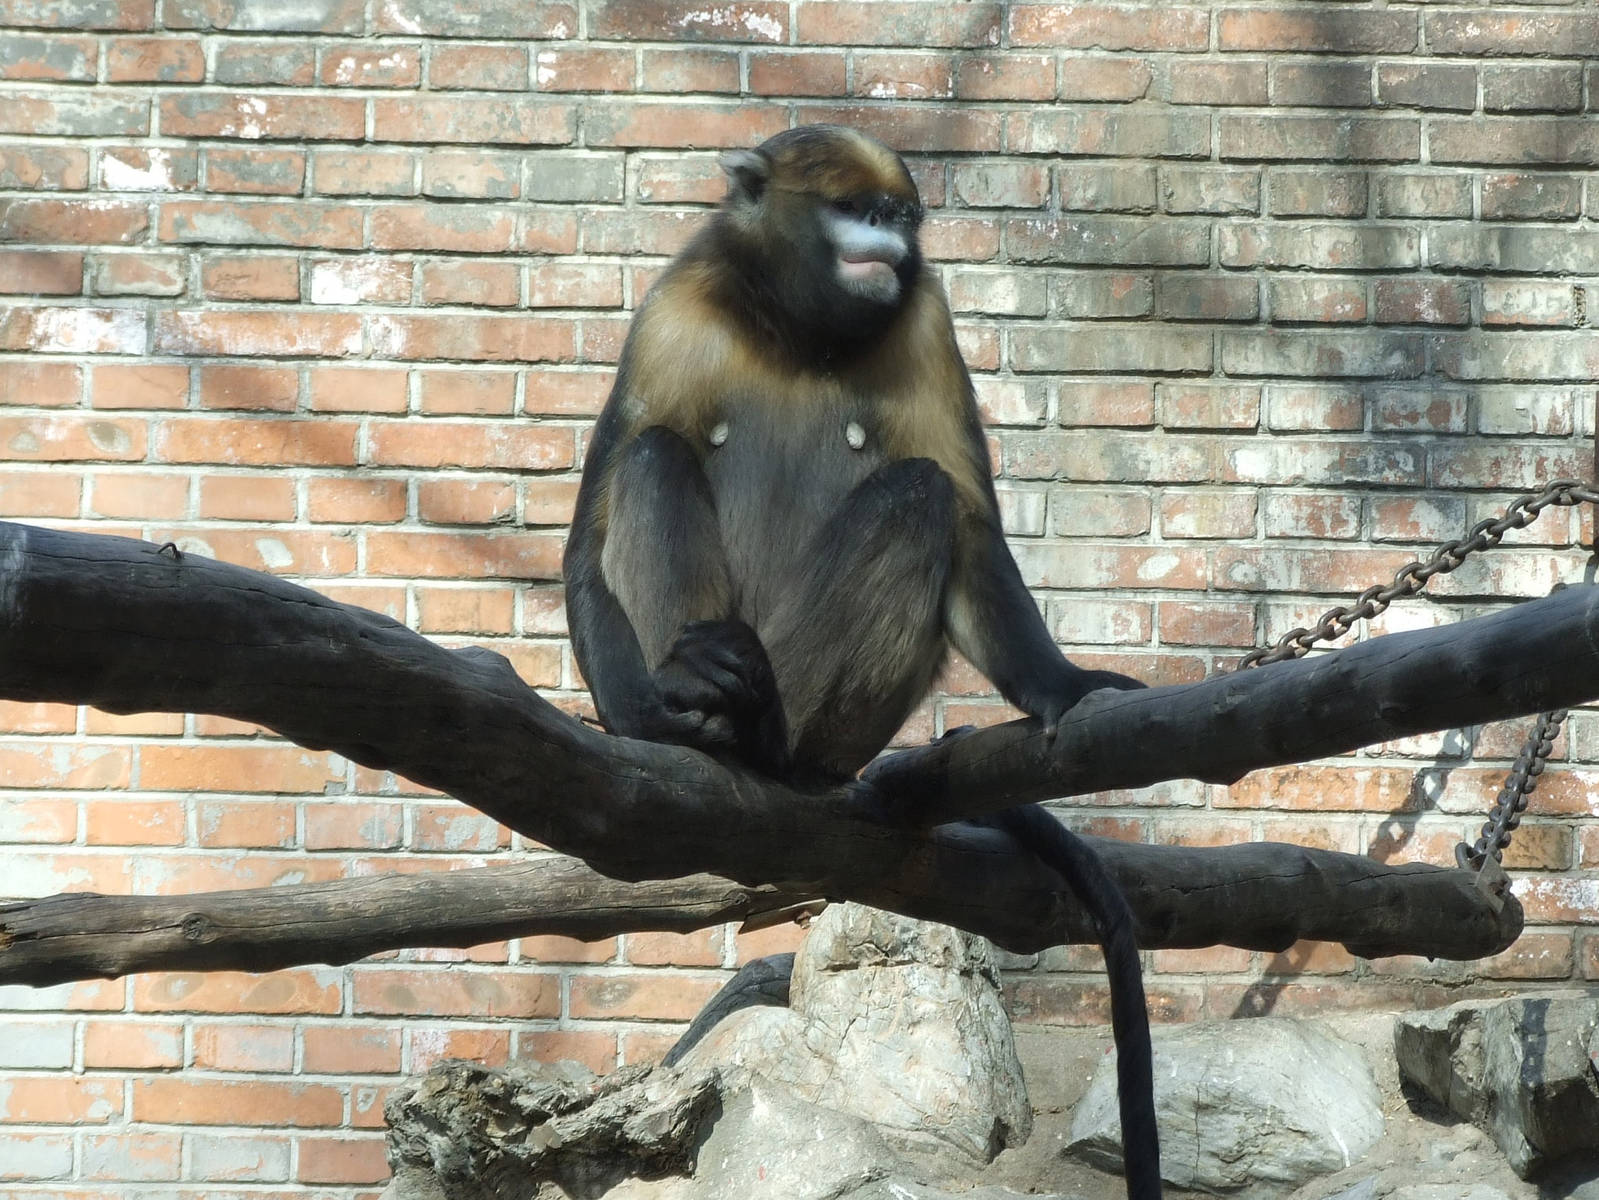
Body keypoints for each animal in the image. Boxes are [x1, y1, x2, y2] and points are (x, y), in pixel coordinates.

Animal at [563, 125, 1161, 1199]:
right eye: (858, 213)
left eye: (898, 219)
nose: (889, 245)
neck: (799, 332)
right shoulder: (677, 301)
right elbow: (594, 522)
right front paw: (637, 718)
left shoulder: (922, 312)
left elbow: (964, 515)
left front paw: (1059, 685)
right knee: (656, 453)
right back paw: (696, 707)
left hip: (825, 711)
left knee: (916, 490)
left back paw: (754, 735)